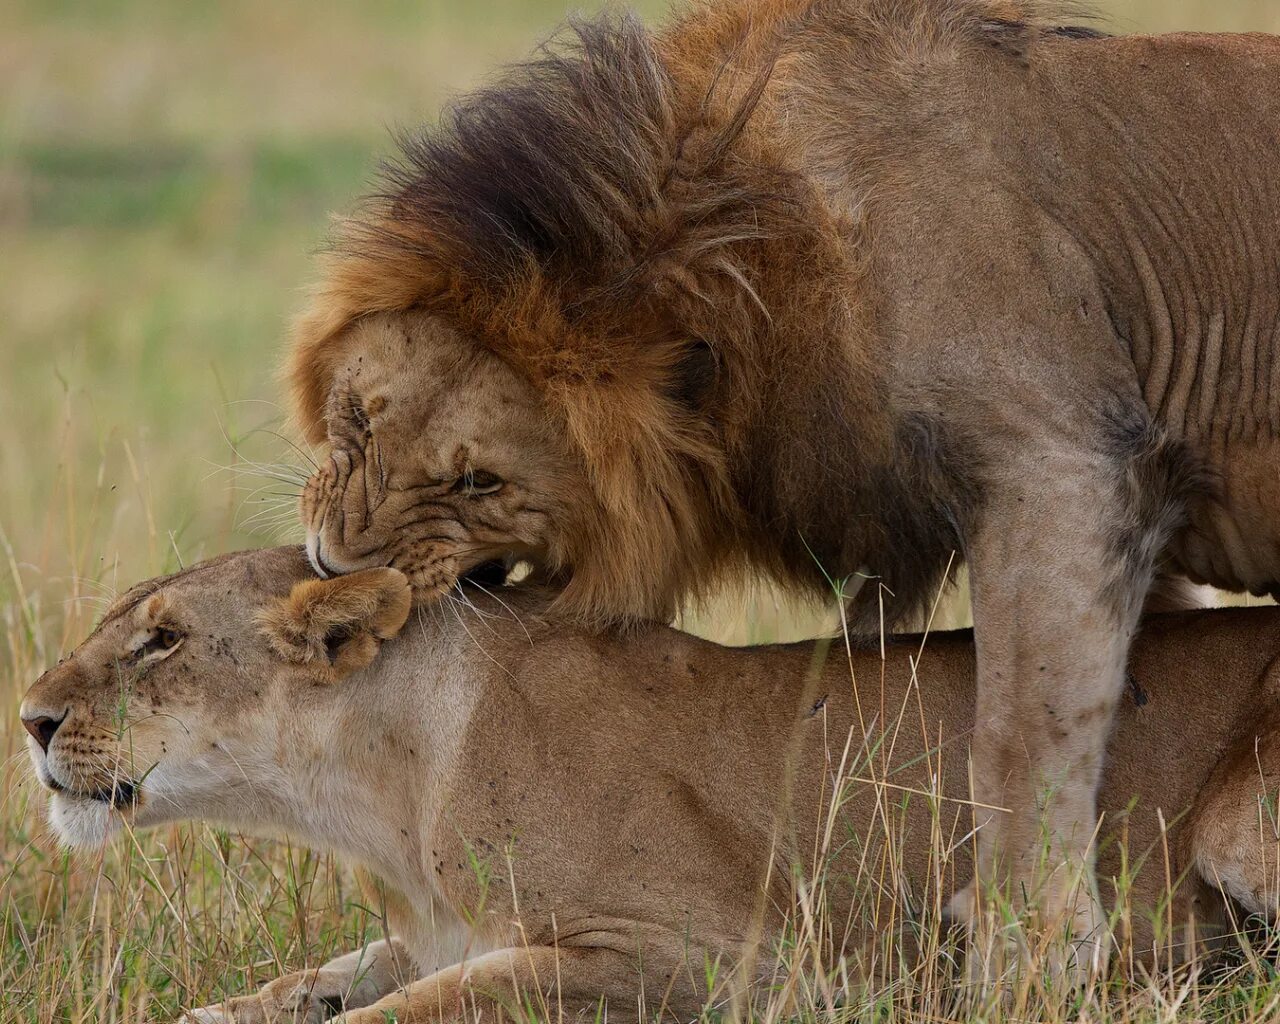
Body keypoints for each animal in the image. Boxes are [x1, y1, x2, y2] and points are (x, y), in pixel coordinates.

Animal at [20, 547, 1280, 1018]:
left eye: (162, 640)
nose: (28, 719)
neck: (381, 798)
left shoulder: (710, 956)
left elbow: (425, 1005)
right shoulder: (428, 929)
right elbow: (330, 975)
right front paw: (227, 1008)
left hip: (1233, 821)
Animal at [293, 0, 1280, 977]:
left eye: (479, 481)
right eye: (357, 418)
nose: (331, 569)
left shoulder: (1066, 459)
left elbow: (1020, 735)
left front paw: (1028, 958)